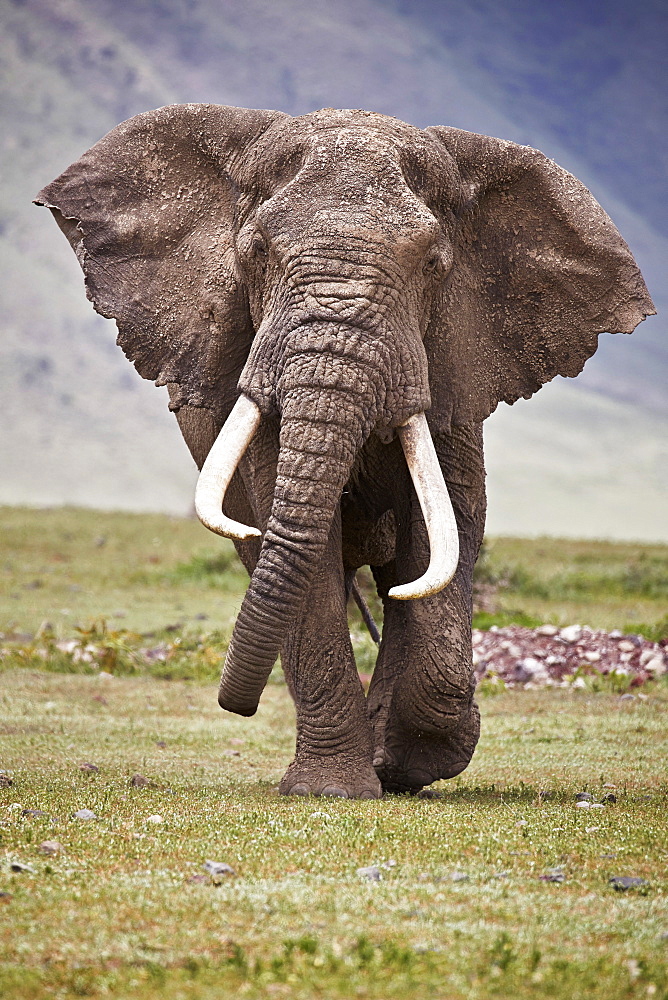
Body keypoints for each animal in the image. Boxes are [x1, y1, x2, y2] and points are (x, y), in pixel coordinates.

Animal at [35, 105, 652, 800]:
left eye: (434, 263)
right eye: (255, 251)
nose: (233, 704)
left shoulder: (456, 363)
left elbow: (446, 533)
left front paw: (414, 762)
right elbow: (305, 541)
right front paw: (332, 790)